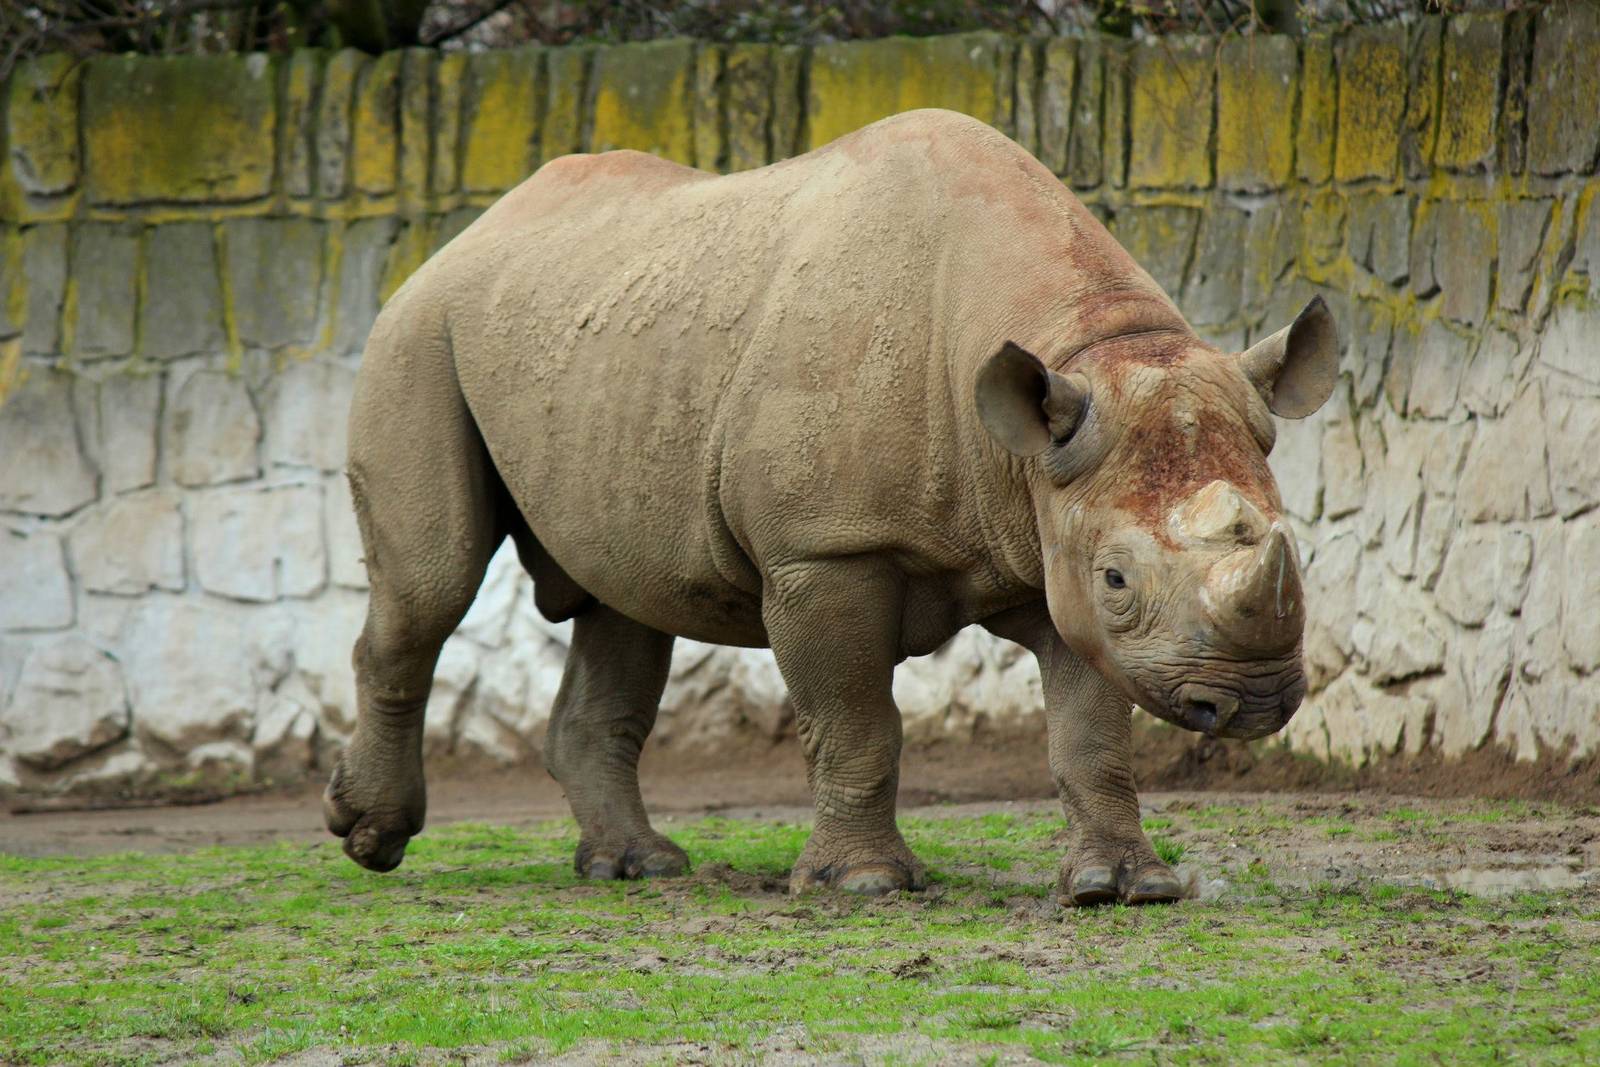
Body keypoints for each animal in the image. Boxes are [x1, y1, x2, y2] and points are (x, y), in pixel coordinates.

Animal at [323, 108, 1337, 906]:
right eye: (1121, 578)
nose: (1255, 701)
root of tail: (463, 235)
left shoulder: (1054, 524)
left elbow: (1092, 730)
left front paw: (1125, 886)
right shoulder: (825, 551)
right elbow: (855, 719)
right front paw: (864, 883)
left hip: (589, 352)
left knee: (623, 601)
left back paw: (637, 867)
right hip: (417, 335)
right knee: (432, 585)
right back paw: (371, 837)